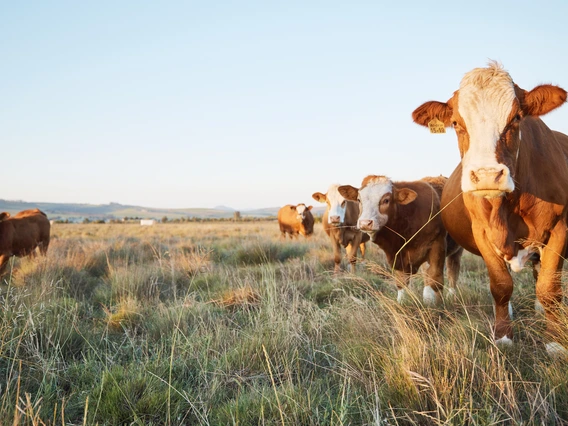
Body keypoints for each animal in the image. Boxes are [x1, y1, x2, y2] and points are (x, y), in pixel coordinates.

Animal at [340, 176, 464, 306]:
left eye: (386, 200)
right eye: (359, 200)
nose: (365, 223)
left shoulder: (437, 246)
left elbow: (434, 281)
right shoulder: (397, 255)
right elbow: (401, 282)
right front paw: (401, 302)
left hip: (457, 250)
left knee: (452, 271)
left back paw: (452, 295)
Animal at [412, 61, 568, 356]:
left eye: (517, 117)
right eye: (456, 123)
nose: (486, 176)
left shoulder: (559, 229)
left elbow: (549, 288)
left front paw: (555, 342)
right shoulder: (483, 234)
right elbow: (501, 286)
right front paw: (504, 336)